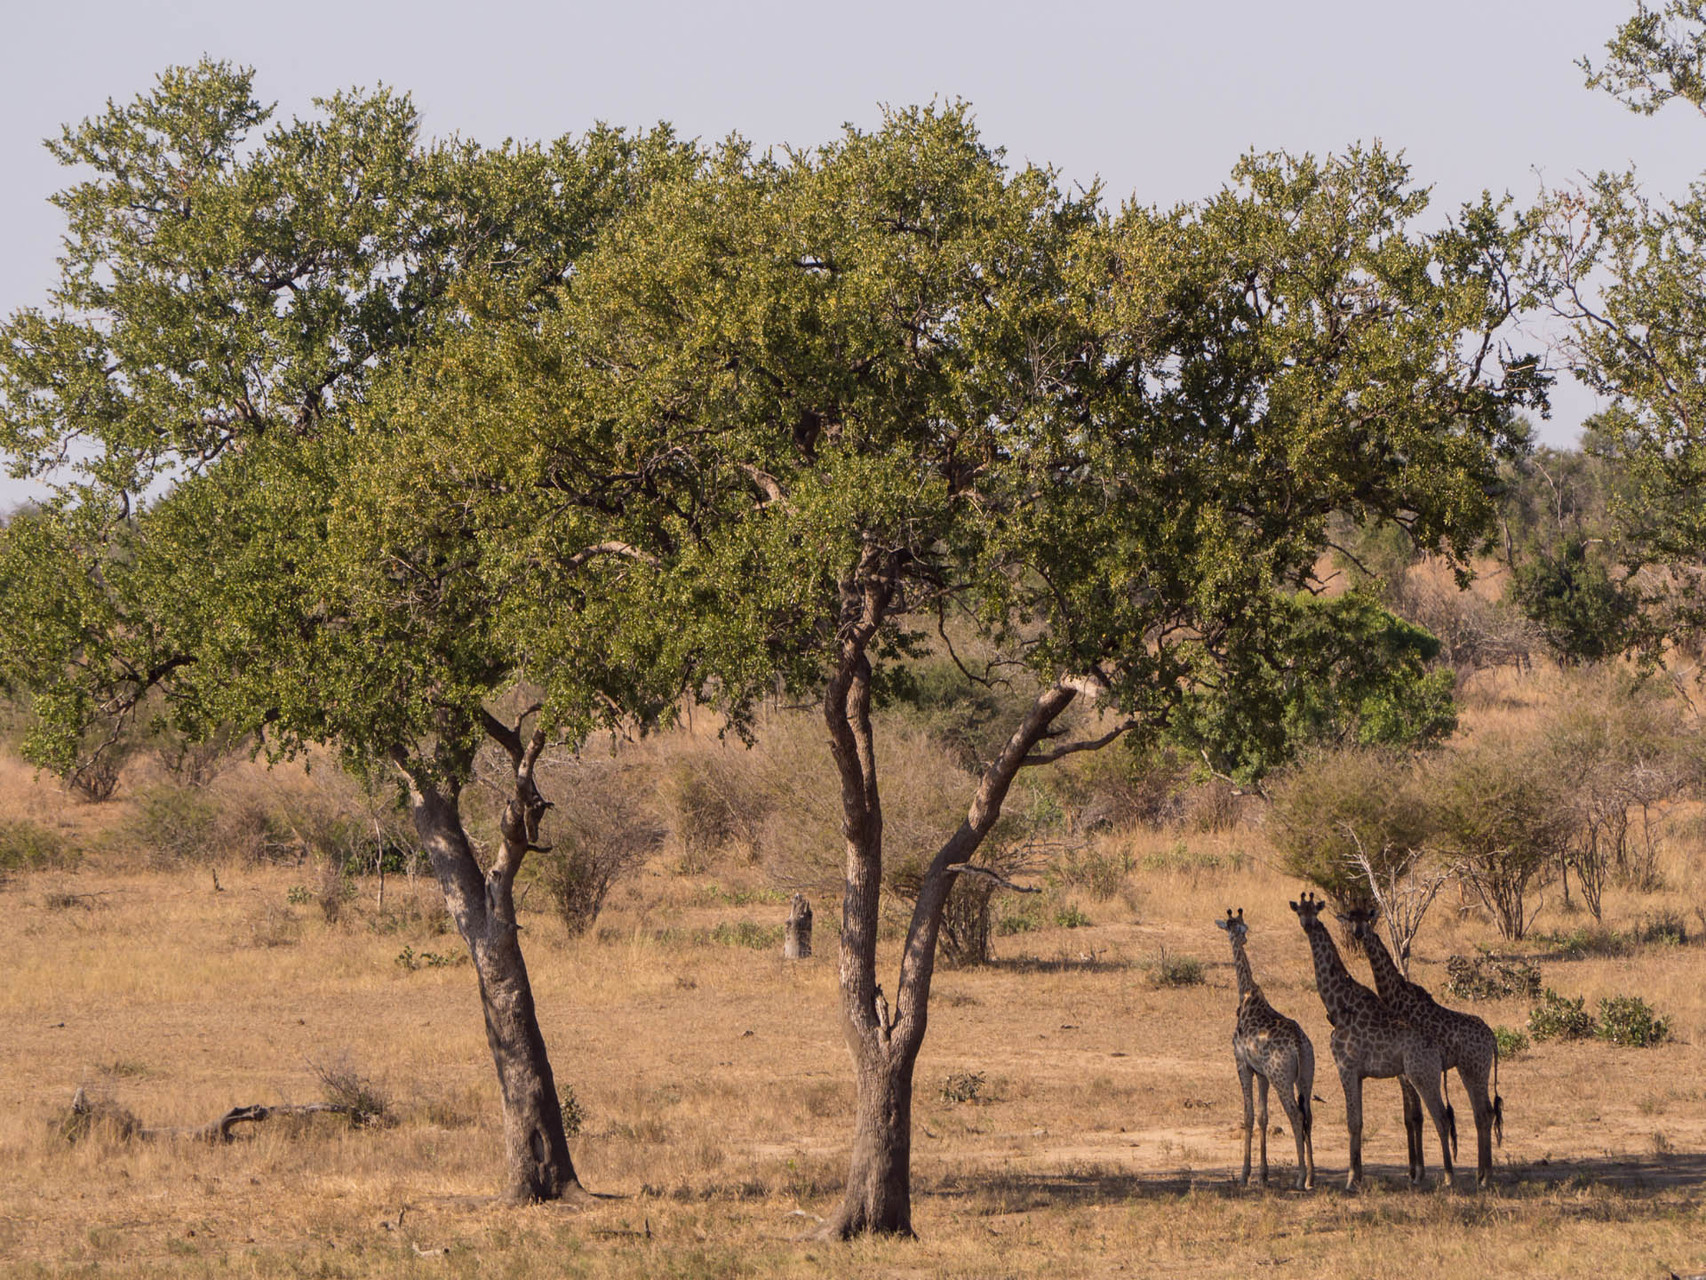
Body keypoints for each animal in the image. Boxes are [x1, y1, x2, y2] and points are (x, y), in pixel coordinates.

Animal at [1214, 914, 1317, 1194]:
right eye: (1239, 927)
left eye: (1231, 928)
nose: (1242, 938)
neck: (1246, 994)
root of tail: (1299, 1044)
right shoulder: (1262, 1074)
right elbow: (1263, 1117)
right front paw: (1263, 1174)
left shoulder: (1242, 1064)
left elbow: (1249, 1116)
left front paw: (1244, 1174)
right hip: (1306, 1075)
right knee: (1309, 1115)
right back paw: (1312, 1177)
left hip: (1281, 1077)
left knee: (1296, 1114)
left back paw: (1300, 1178)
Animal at [1282, 894, 1460, 1194]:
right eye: (1299, 912)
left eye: (1314, 911)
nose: (1307, 925)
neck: (1339, 1004)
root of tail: (1437, 1049)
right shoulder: (1360, 1074)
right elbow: (1361, 1121)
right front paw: (1359, 1176)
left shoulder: (1346, 1068)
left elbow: (1352, 1122)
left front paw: (1351, 1179)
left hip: (1421, 1076)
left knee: (1441, 1118)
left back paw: (1447, 1177)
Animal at [1344, 901, 1508, 1194]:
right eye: (1351, 918)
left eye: (1367, 919)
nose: (1358, 934)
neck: (1397, 998)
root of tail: (1493, 1039)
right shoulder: (1405, 1071)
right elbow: (1410, 1117)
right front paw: (1414, 1172)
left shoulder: (1408, 1070)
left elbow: (1415, 1116)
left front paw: (1417, 1173)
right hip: (1472, 1070)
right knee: (1484, 1113)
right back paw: (1481, 1175)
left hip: (1474, 1070)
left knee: (1484, 1113)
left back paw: (1485, 1177)